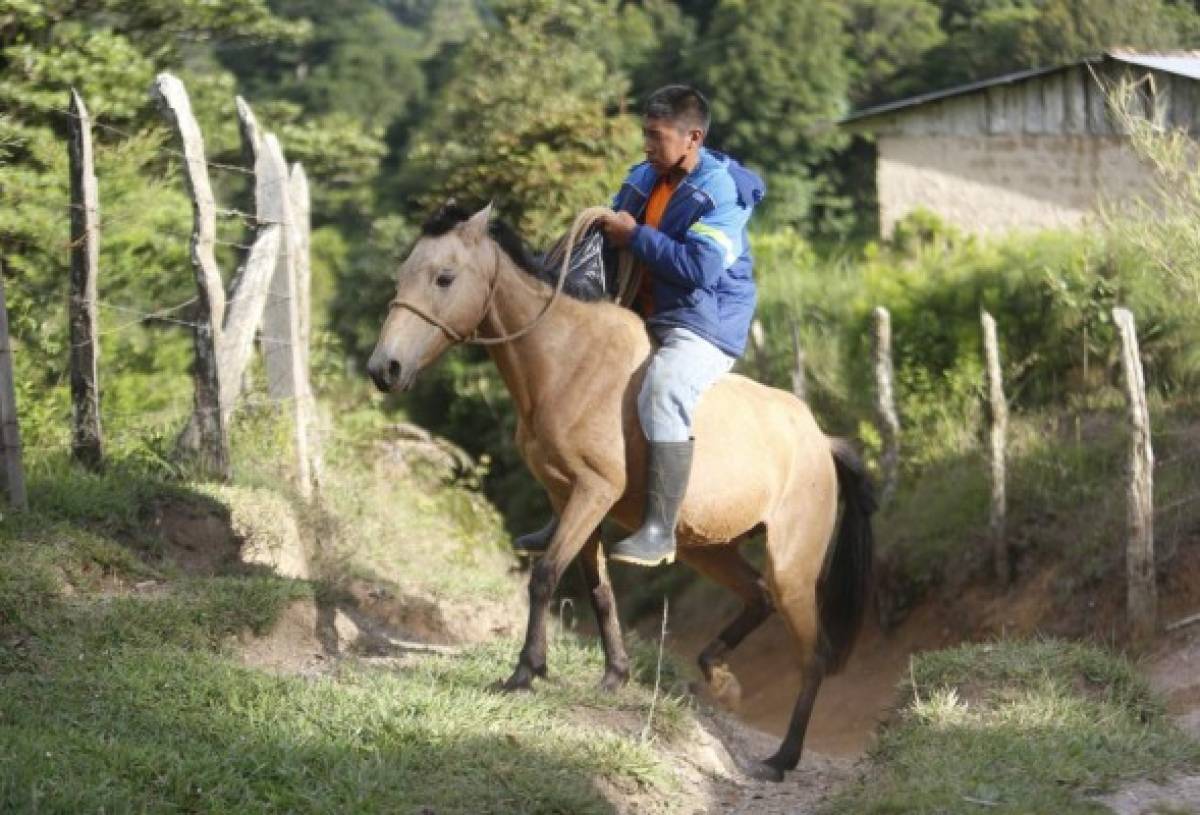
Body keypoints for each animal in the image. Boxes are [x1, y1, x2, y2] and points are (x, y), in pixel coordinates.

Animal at [362, 200, 873, 782]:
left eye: (444, 278)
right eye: (402, 277)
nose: (384, 369)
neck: (566, 362)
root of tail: (821, 441)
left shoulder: (592, 493)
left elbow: (545, 577)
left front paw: (524, 672)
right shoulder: (568, 497)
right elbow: (598, 589)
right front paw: (614, 676)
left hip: (793, 566)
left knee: (812, 653)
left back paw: (781, 757)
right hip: (709, 549)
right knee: (757, 597)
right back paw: (718, 676)